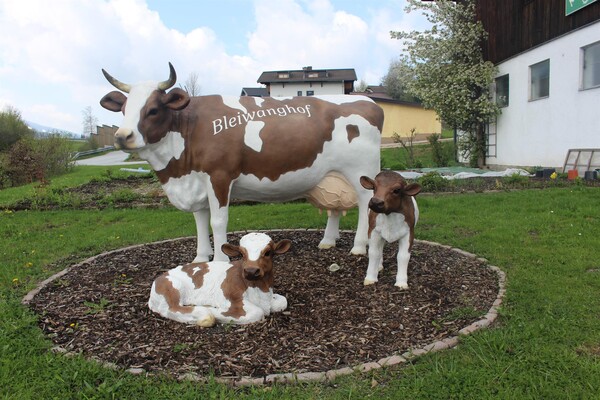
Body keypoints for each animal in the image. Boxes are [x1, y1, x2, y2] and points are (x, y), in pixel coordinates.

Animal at [98, 62, 380, 262]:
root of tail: (369, 102)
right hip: (333, 175)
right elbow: (199, 221)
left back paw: (358, 247)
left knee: (365, 205)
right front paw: (200, 258)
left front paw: (220, 261)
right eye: (123, 110)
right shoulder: (196, 181)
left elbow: (217, 221)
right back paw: (328, 241)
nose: (122, 136)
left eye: (153, 110)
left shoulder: (219, 176)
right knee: (336, 207)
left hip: (361, 172)